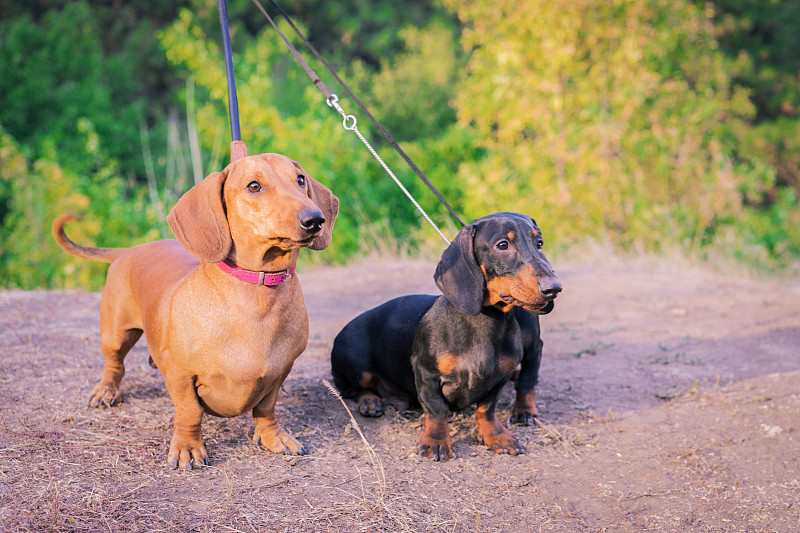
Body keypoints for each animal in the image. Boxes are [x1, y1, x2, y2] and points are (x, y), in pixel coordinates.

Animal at [50, 152, 338, 468]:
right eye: (254, 186)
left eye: (300, 180)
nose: (315, 219)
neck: (257, 292)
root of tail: (130, 249)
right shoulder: (181, 374)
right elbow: (189, 411)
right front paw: (188, 447)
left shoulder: (280, 373)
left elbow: (266, 408)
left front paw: (273, 437)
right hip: (115, 333)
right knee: (114, 364)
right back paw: (105, 392)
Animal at [328, 212, 560, 462]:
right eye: (502, 245)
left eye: (539, 243)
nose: (554, 288)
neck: (486, 321)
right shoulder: (426, 374)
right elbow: (437, 409)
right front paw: (437, 442)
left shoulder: (502, 375)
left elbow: (488, 408)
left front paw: (496, 436)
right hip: (356, 364)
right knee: (347, 390)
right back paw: (370, 401)